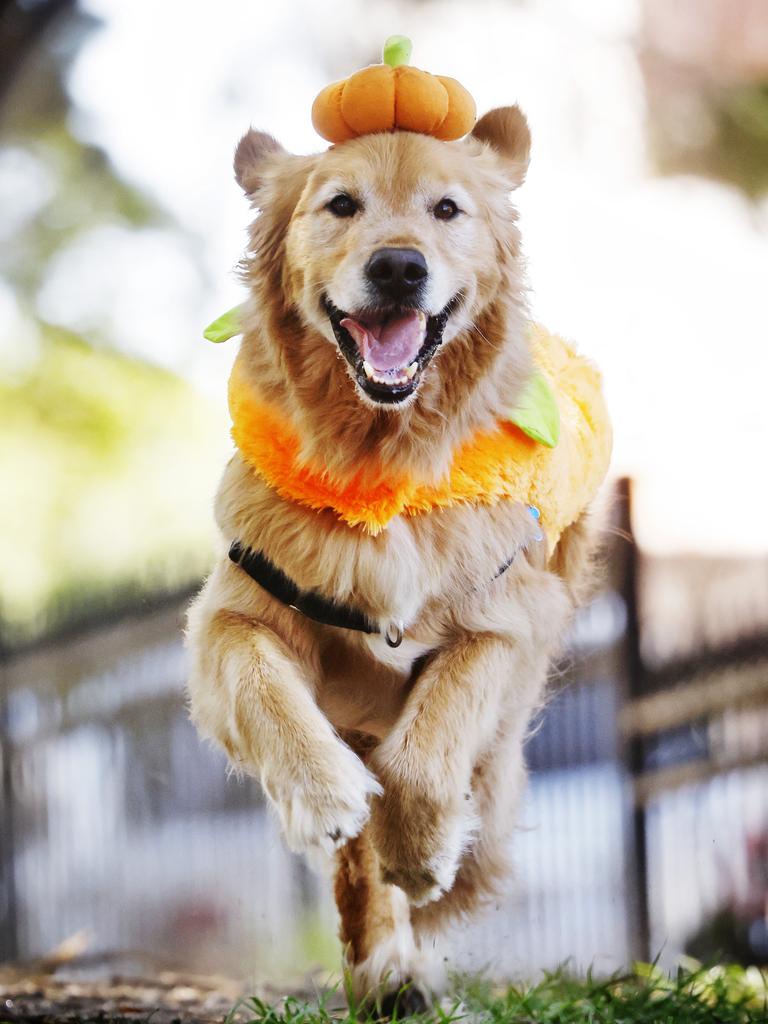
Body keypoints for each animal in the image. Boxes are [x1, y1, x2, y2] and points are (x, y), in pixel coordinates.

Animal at [186, 101, 606, 1007]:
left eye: (447, 210)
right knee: (354, 874)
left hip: (504, 744)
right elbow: (260, 682)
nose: (400, 268)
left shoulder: (508, 621)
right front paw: (323, 793)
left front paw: (419, 853)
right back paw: (386, 968)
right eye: (340, 204)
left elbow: (432, 737)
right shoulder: (230, 615)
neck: (384, 465)